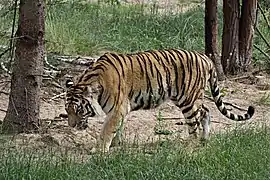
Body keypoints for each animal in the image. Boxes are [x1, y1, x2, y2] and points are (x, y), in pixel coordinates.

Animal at [65, 48, 255, 153]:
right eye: (67, 111)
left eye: (79, 110)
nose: (72, 126)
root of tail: (205, 58)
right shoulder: (120, 110)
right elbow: (116, 128)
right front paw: (115, 144)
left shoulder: (117, 109)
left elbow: (106, 130)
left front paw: (99, 150)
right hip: (190, 98)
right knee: (206, 112)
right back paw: (204, 139)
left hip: (188, 100)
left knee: (194, 124)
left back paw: (190, 147)